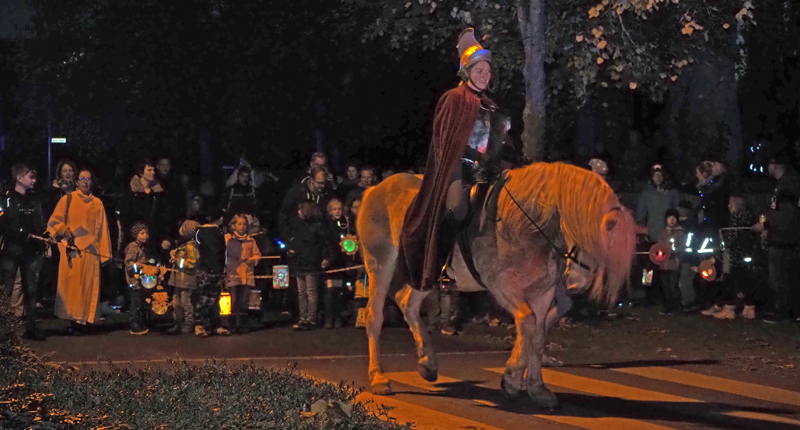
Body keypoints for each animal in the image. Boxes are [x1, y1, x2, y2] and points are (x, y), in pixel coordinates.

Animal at [360, 163, 636, 408]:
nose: (578, 282)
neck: (525, 225)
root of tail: (375, 189)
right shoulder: (504, 287)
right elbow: (527, 321)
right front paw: (511, 380)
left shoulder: (543, 292)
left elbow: (538, 335)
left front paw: (538, 389)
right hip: (380, 263)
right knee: (375, 316)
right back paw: (379, 378)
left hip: (423, 272)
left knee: (407, 302)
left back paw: (427, 364)